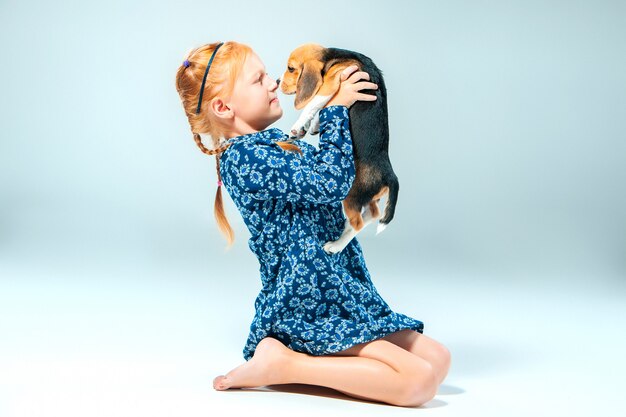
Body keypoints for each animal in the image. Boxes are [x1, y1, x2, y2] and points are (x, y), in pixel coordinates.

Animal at [280, 44, 398, 255]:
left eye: (291, 68)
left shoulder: (332, 81)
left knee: (359, 223)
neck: (333, 57)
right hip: (366, 197)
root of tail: (389, 173)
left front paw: (299, 126)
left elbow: (314, 103)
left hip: (351, 194)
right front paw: (312, 126)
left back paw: (336, 246)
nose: (277, 82)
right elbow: (324, 107)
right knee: (372, 214)